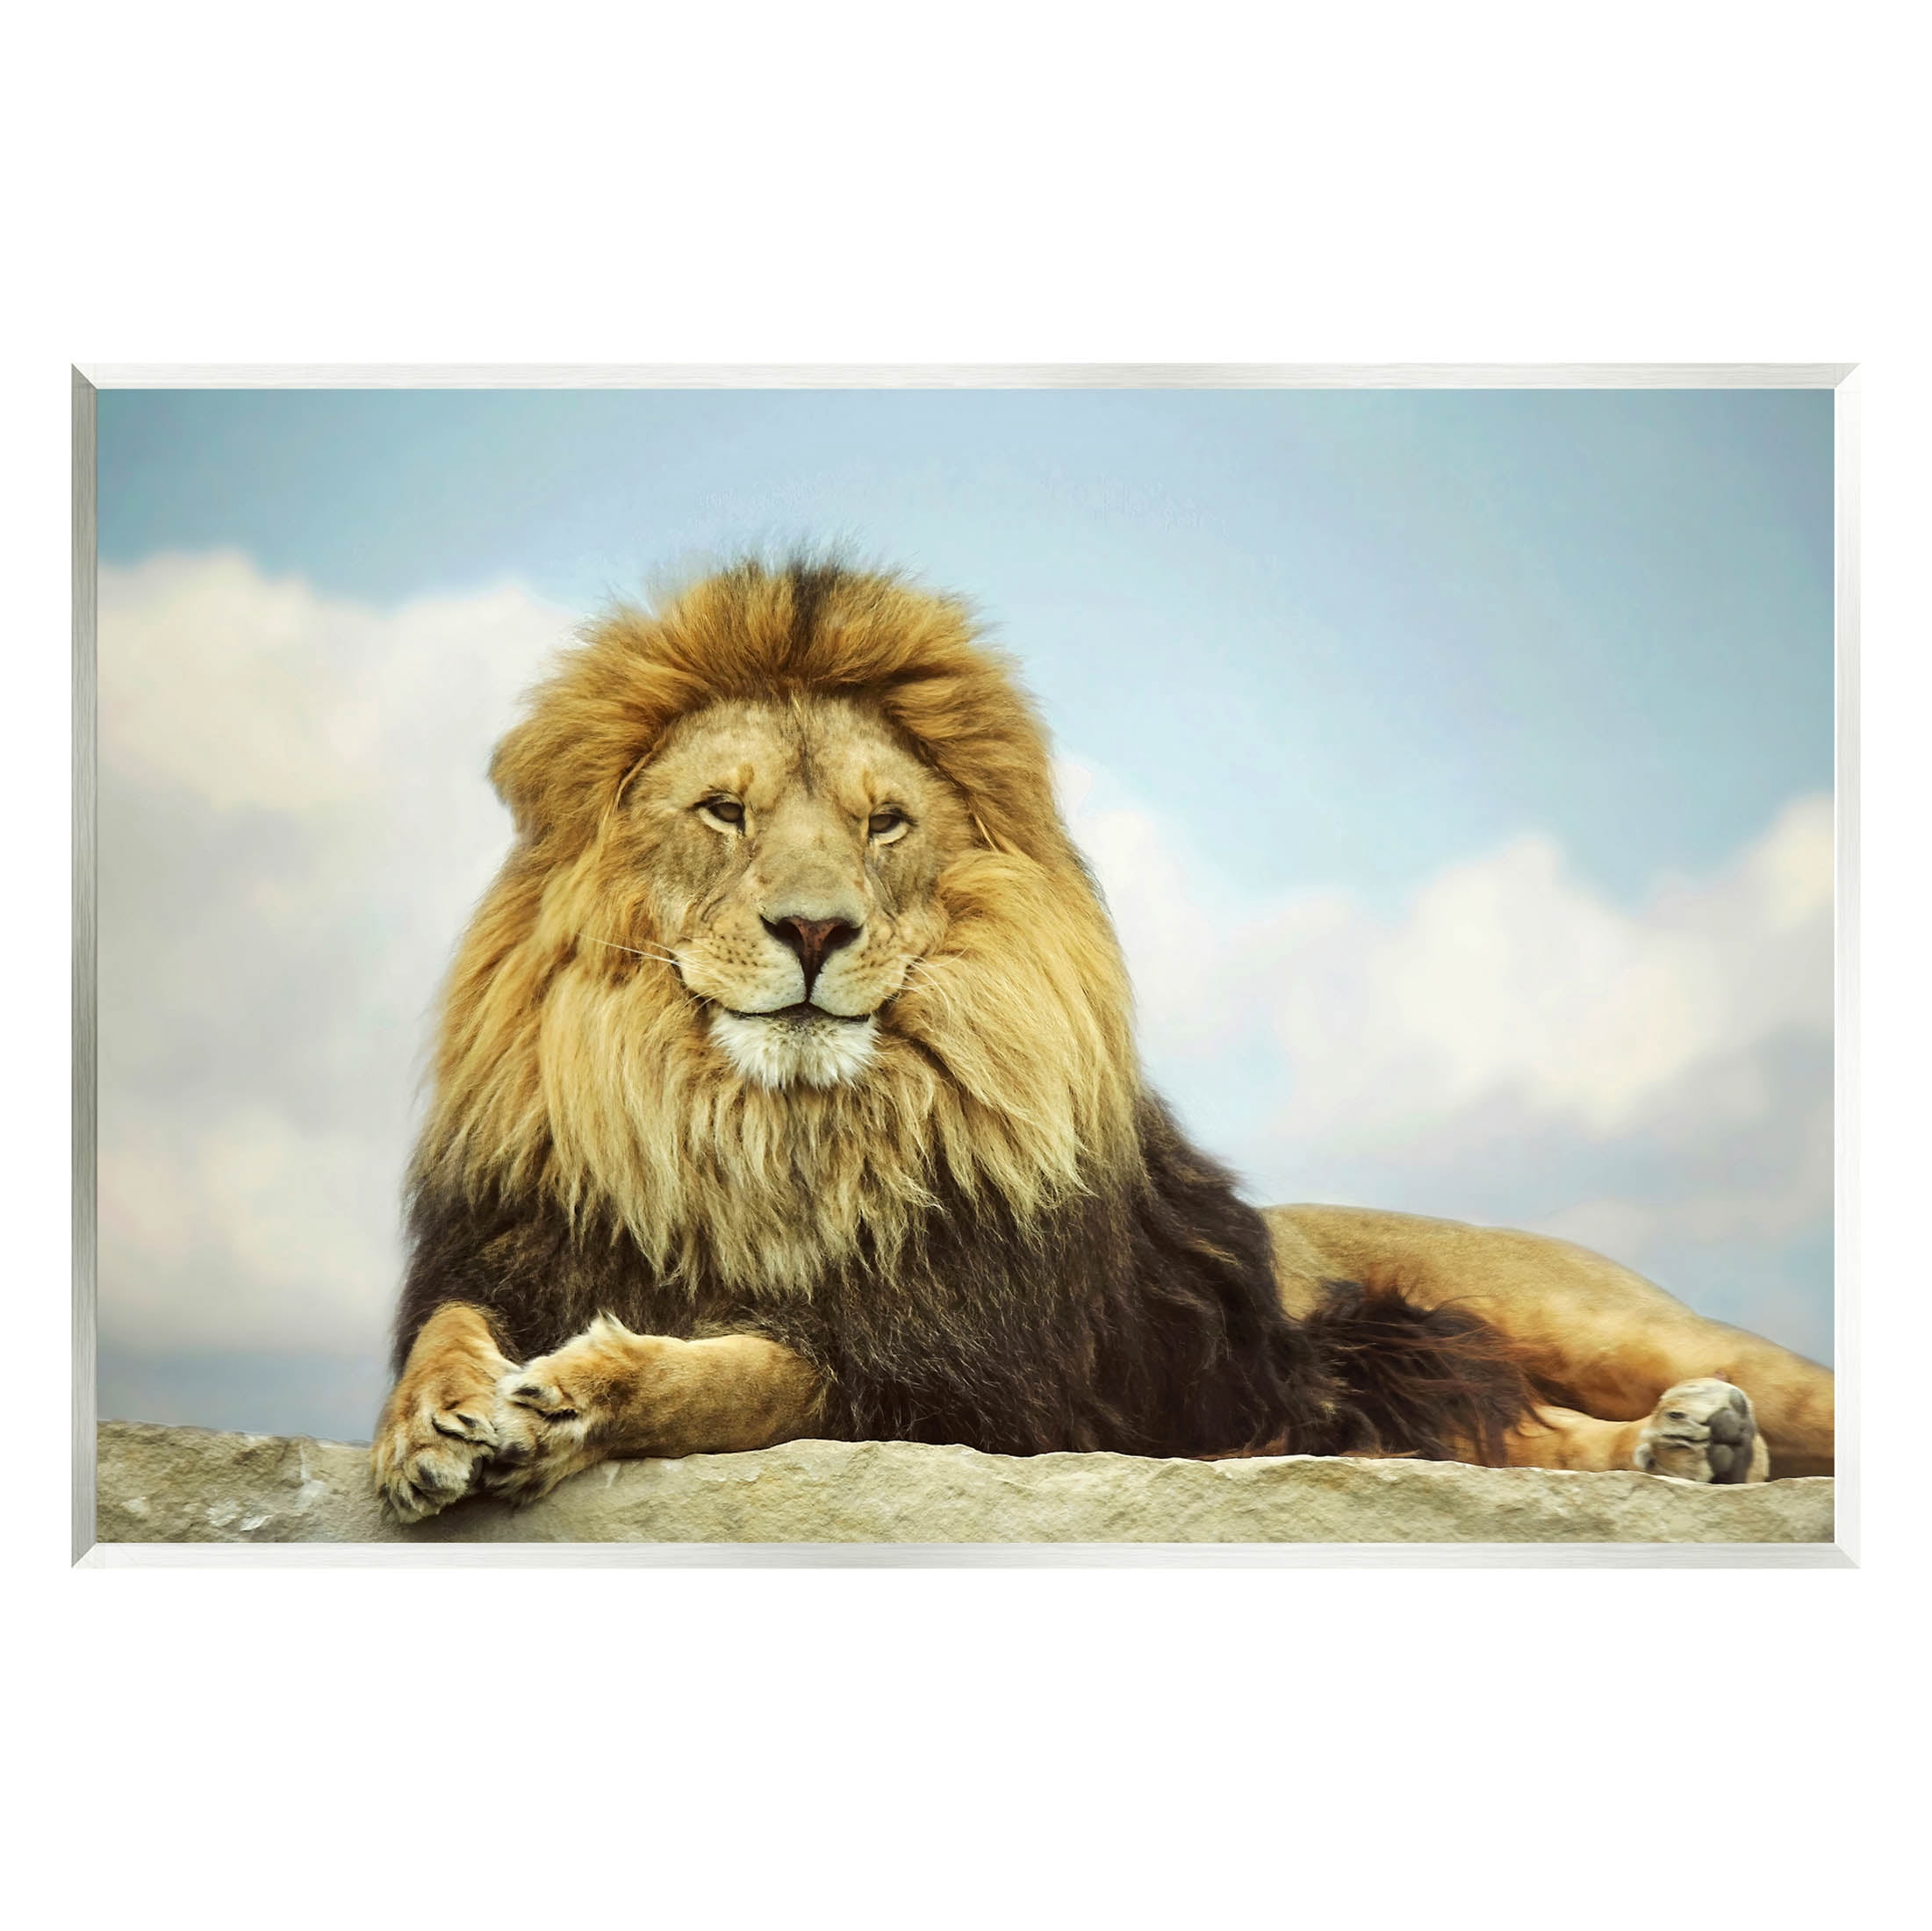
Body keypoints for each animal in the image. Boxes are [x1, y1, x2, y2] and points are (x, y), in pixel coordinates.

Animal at [373, 557, 1835, 1522]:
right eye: (722, 813)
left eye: (883, 824)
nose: (814, 930)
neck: (759, 1135)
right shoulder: (519, 1248)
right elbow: (450, 1325)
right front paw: (437, 1425)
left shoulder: (980, 1388)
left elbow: (753, 1375)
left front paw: (575, 1396)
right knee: (1510, 1432)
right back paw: (1688, 1452)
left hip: (1601, 1322)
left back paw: (1711, 1436)